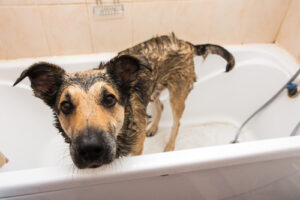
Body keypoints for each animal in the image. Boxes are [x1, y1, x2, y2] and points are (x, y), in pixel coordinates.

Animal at [13, 33, 234, 168]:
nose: (90, 149)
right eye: (65, 105)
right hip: (153, 89)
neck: (122, 129)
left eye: (109, 99)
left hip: (177, 94)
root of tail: (186, 43)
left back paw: (169, 146)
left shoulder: (135, 151)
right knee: (160, 106)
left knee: (176, 121)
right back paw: (152, 127)